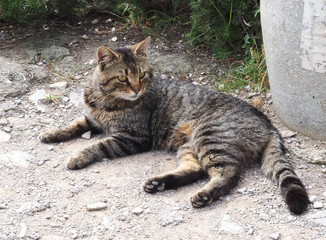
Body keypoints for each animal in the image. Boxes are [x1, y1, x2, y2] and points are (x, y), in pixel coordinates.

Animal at [39, 36, 310, 215]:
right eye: (123, 78)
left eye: (142, 75)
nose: (136, 89)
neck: (105, 100)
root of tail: (267, 122)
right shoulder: (93, 120)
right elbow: (75, 124)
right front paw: (51, 133)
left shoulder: (133, 137)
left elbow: (99, 145)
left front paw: (79, 156)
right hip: (190, 146)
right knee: (196, 170)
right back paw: (159, 183)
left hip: (210, 136)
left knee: (227, 173)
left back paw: (204, 195)